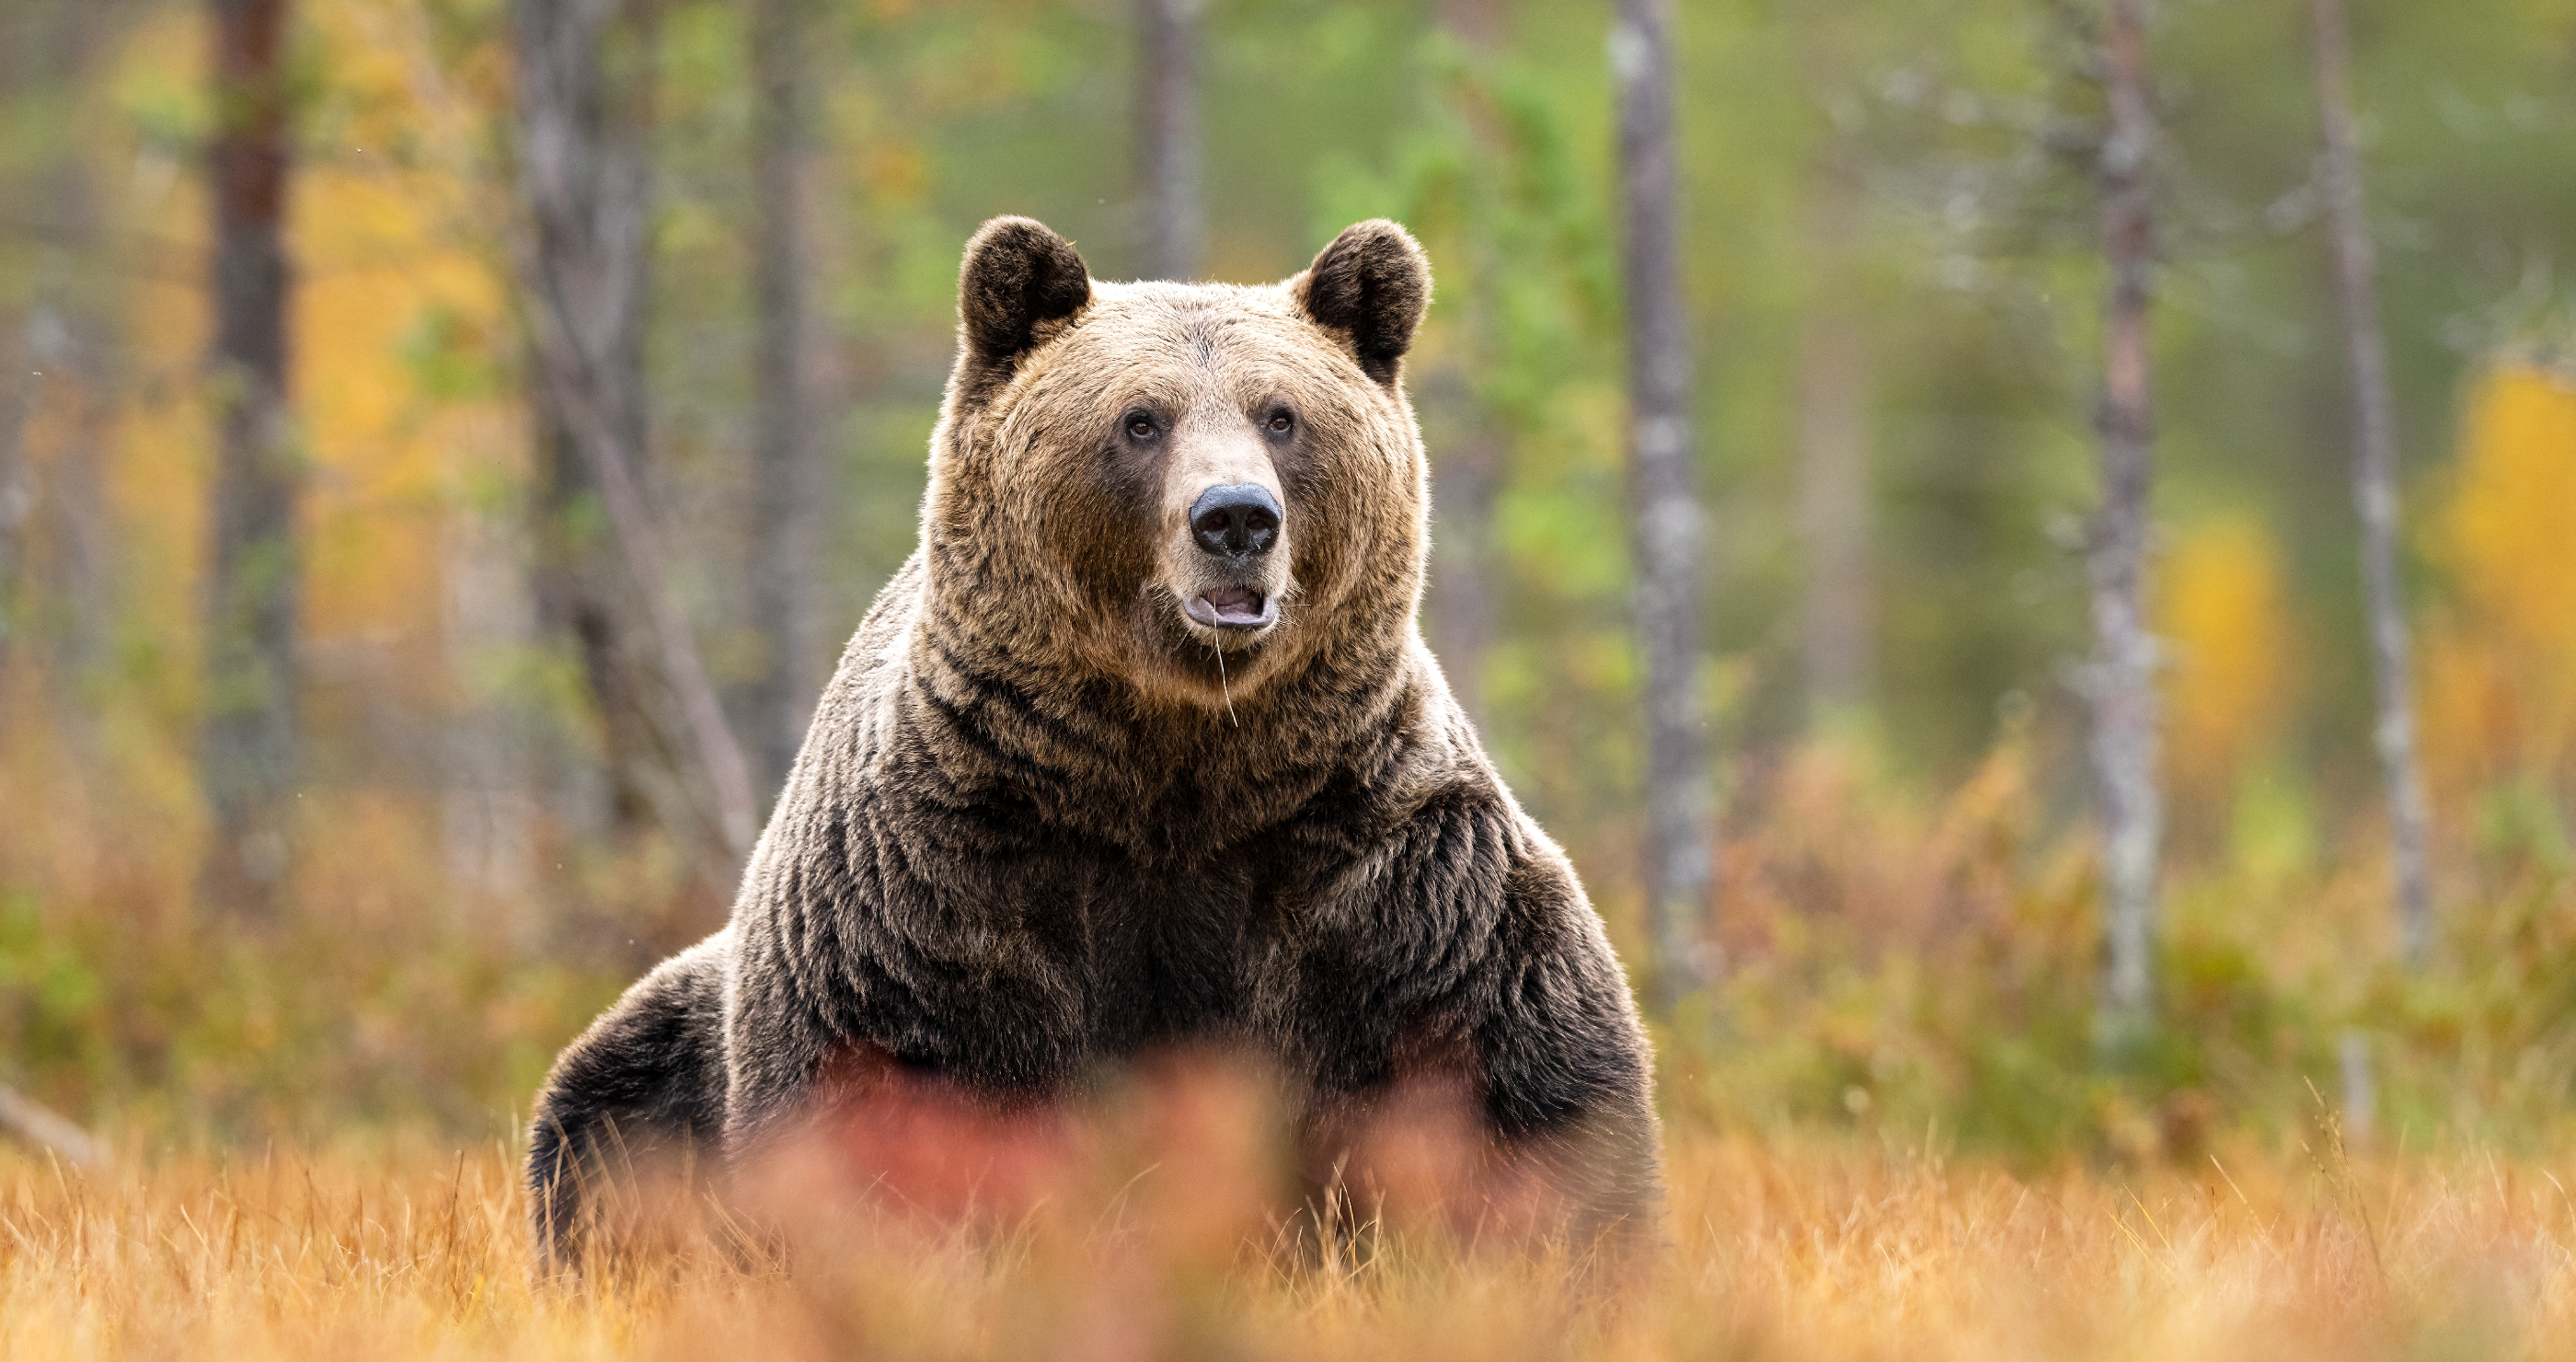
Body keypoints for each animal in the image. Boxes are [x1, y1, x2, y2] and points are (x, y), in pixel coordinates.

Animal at [525, 216, 1662, 1266]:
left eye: (1282, 415)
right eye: (1140, 419)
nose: (1236, 519)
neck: (1169, 767)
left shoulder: (1376, 865)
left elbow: (1510, 1072)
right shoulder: (943, 877)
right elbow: (892, 1094)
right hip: (678, 1034)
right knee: (606, 1114)